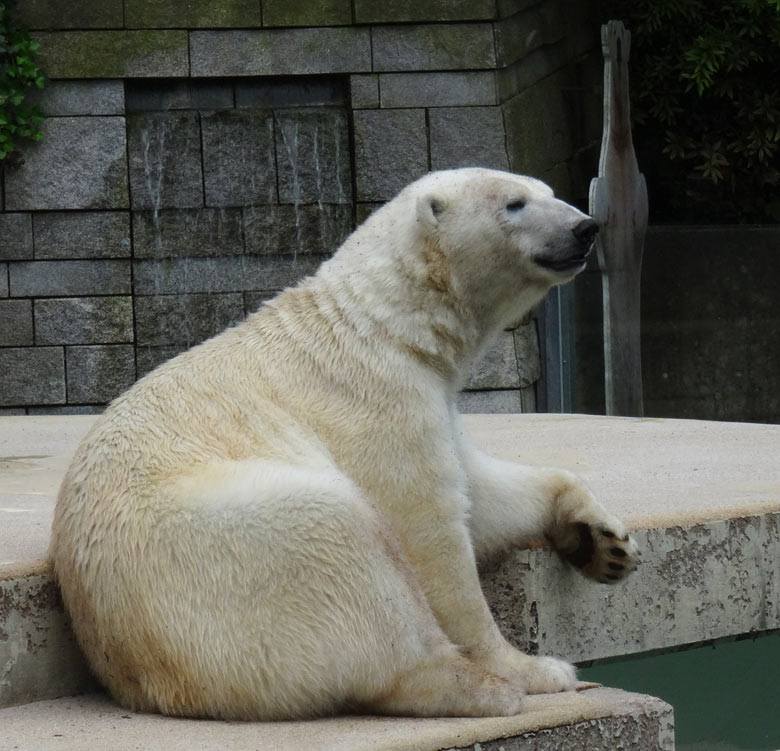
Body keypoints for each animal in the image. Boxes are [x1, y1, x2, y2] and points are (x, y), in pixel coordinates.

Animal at [48, 167, 636, 720]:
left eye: (549, 191)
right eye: (515, 203)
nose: (585, 227)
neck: (381, 324)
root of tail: (145, 678)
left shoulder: (435, 399)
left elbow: (483, 492)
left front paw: (606, 543)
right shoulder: (375, 401)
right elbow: (429, 533)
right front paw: (530, 668)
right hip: (216, 543)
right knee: (344, 548)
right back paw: (482, 687)